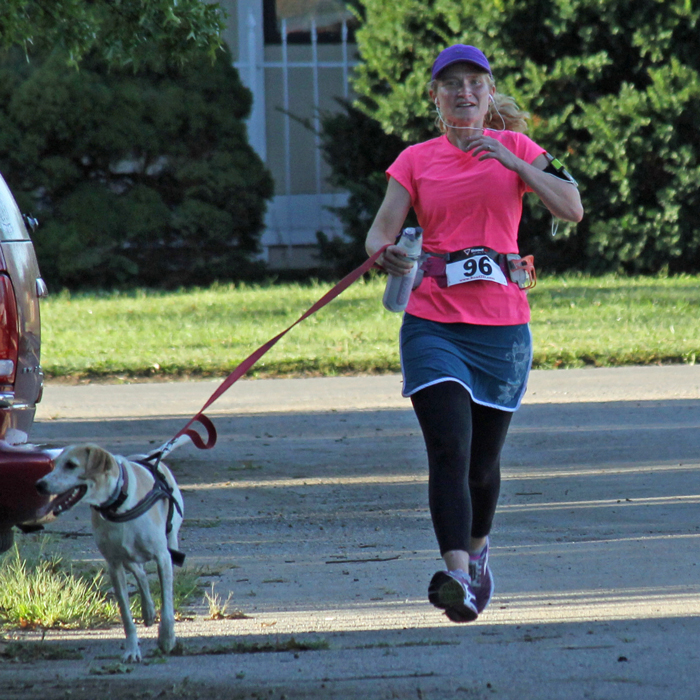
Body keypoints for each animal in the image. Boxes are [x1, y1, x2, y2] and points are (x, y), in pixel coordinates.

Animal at [37, 446, 185, 664]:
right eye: (54, 465)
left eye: (71, 465)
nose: (39, 484)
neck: (118, 504)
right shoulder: (114, 565)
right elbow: (126, 616)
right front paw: (132, 650)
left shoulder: (163, 557)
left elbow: (167, 606)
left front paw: (166, 638)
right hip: (126, 557)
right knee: (140, 573)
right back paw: (148, 610)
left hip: (171, 540)